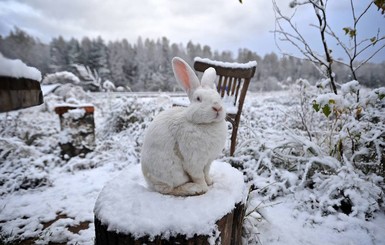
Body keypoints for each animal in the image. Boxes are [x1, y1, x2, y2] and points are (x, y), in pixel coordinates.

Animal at [140, 56, 225, 196]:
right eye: (198, 99)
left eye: (219, 96)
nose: (217, 107)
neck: (205, 125)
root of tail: (149, 181)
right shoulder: (193, 161)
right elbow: (198, 176)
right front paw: (204, 188)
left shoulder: (208, 161)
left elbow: (206, 172)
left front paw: (210, 182)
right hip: (173, 172)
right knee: (170, 189)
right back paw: (194, 189)